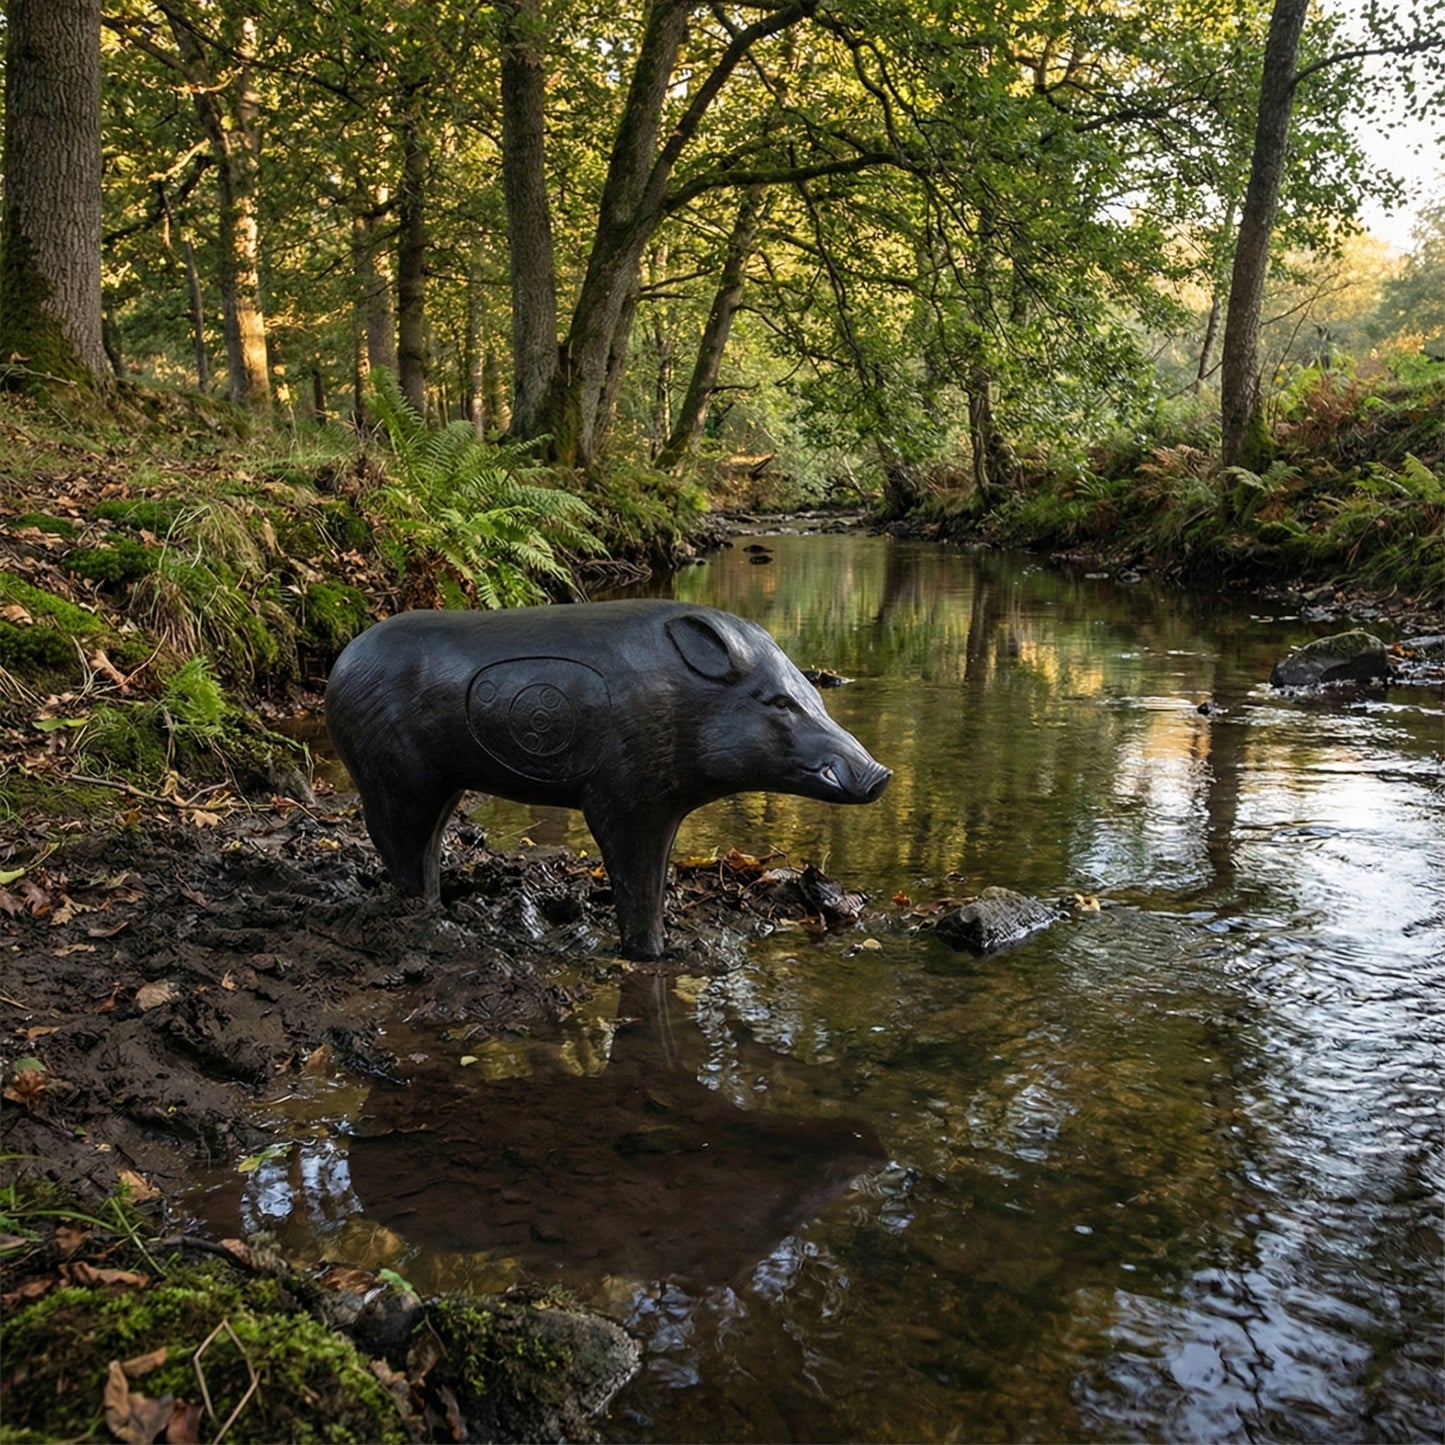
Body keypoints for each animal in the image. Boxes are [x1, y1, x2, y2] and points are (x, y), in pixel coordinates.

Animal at [324, 600, 891, 958]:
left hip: (442, 781)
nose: (881, 774)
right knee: (394, 837)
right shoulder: (624, 793)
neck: (681, 705)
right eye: (779, 703)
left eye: (814, 696)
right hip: (396, 773)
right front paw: (650, 956)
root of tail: (340, 666)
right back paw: (421, 918)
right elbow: (634, 879)